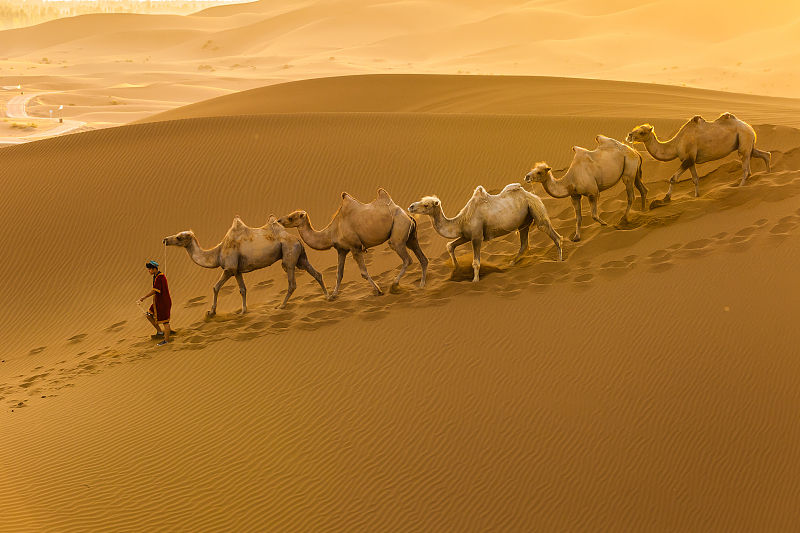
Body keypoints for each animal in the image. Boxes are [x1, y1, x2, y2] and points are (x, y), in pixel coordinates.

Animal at [162, 215, 328, 316]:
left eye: (179, 237)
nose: (165, 239)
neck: (217, 253)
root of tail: (297, 239)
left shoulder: (229, 268)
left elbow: (215, 287)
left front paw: (212, 312)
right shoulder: (237, 271)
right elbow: (242, 289)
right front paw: (243, 310)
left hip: (289, 254)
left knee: (292, 282)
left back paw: (281, 306)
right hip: (300, 257)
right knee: (316, 273)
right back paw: (327, 296)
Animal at [278, 188, 428, 298]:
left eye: (291, 218)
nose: (279, 220)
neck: (332, 232)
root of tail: (408, 216)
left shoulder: (355, 247)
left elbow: (363, 272)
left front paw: (378, 290)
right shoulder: (341, 250)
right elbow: (339, 274)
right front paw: (333, 295)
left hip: (398, 232)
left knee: (407, 259)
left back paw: (394, 284)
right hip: (411, 237)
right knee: (422, 258)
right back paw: (421, 285)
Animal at [410, 183, 560, 282]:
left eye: (426, 205)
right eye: (422, 200)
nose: (411, 206)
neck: (461, 220)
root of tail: (533, 195)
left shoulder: (477, 236)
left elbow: (476, 262)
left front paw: (475, 281)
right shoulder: (466, 235)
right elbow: (450, 246)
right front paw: (457, 269)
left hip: (536, 209)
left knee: (550, 232)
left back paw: (559, 260)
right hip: (524, 222)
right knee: (524, 244)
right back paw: (512, 263)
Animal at [624, 111, 768, 205]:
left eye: (642, 132)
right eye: (635, 128)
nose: (629, 135)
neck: (676, 144)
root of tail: (750, 128)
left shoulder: (687, 158)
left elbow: (673, 178)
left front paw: (665, 199)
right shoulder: (690, 160)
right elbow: (695, 179)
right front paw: (696, 196)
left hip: (744, 139)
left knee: (746, 168)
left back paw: (740, 187)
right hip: (748, 143)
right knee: (763, 154)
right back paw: (767, 173)